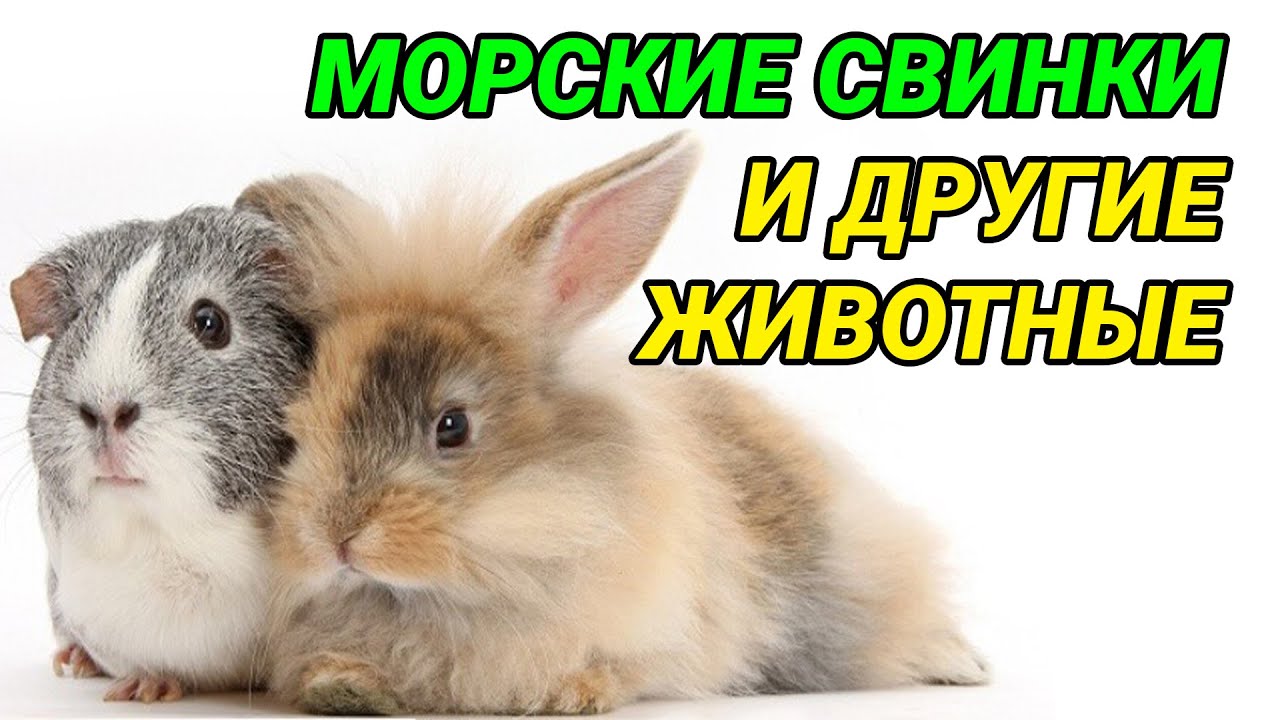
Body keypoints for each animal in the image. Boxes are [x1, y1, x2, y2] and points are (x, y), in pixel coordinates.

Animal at [254, 132, 990, 715]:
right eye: (297, 428)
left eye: (453, 427)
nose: (335, 537)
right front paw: (342, 684)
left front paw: (571, 693)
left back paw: (961, 664)